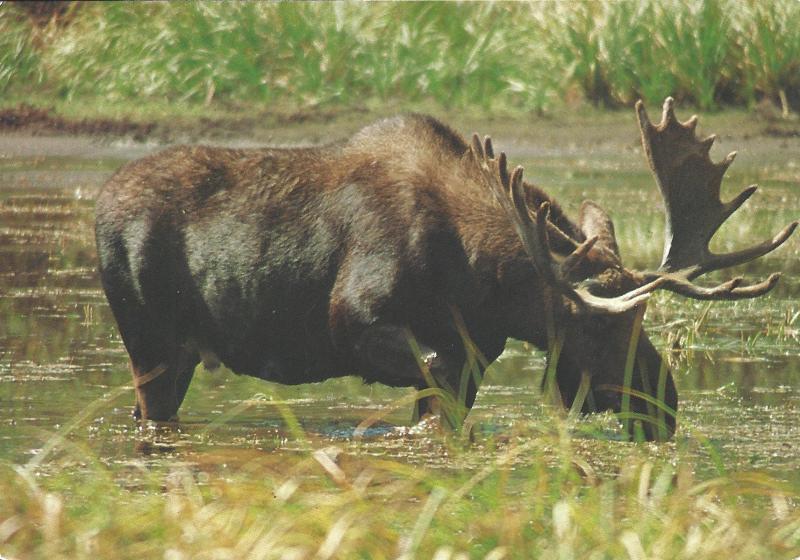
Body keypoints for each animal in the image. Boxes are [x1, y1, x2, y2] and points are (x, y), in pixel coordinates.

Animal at [95, 98, 797, 441]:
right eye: (602, 325)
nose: (664, 404)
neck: (480, 278)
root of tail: (100, 205)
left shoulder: (477, 352)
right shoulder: (356, 320)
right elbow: (434, 377)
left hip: (178, 353)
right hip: (150, 344)